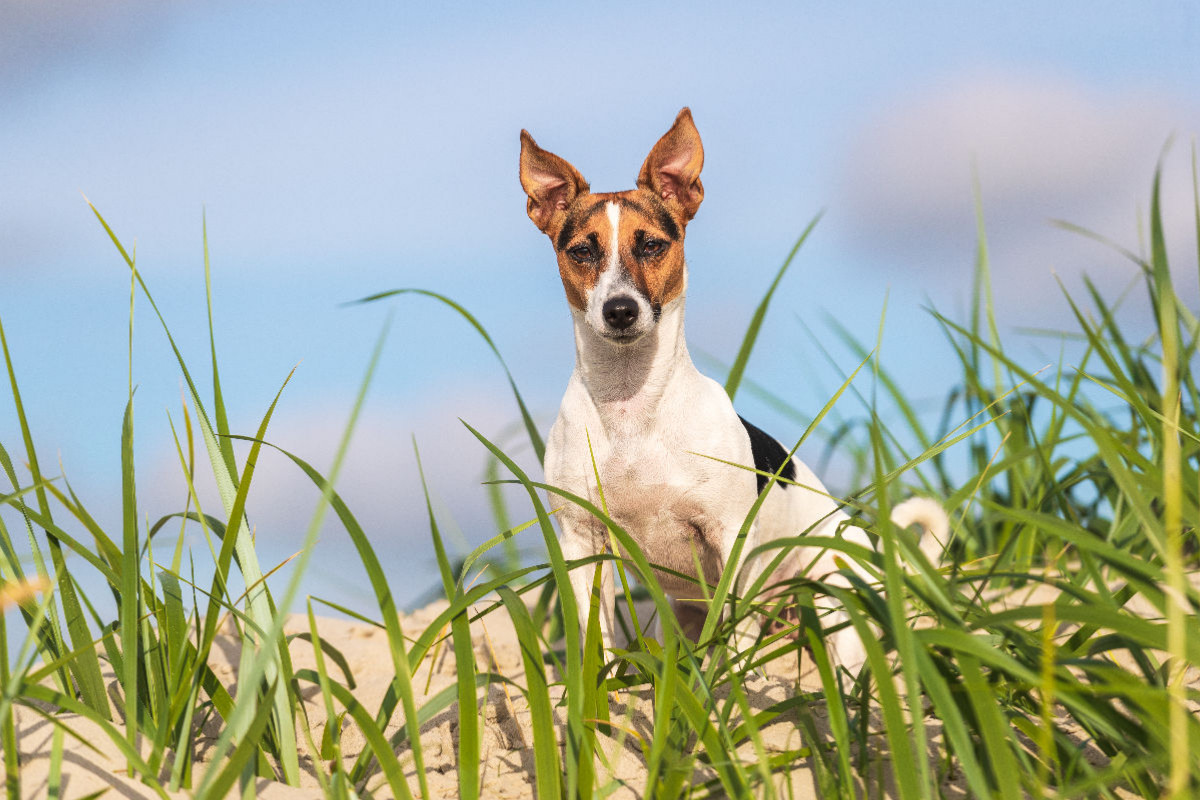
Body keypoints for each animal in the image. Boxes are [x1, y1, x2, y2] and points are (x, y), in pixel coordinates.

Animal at [516, 106, 945, 671]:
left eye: (651, 244)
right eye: (582, 251)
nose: (620, 310)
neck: (632, 407)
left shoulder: (730, 533)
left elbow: (734, 635)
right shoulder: (583, 540)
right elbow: (595, 638)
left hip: (835, 594)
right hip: (678, 614)